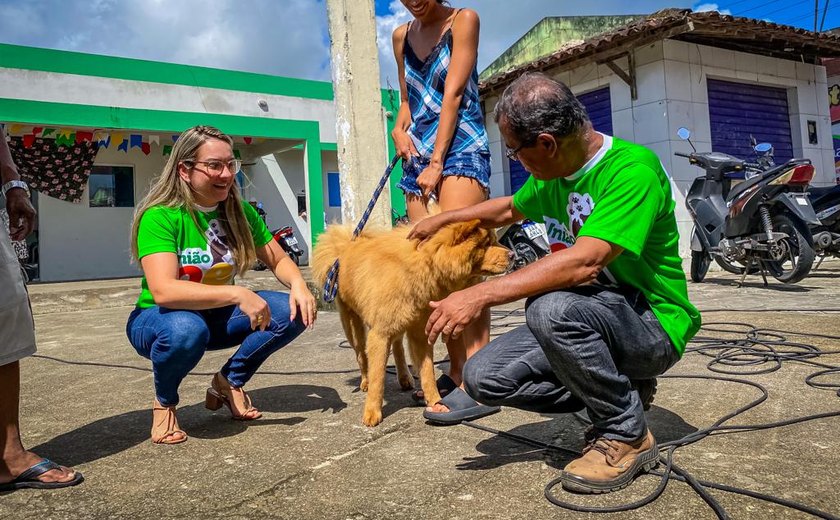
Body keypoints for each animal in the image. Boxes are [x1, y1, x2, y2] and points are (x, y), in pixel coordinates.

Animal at [314, 219, 512, 426]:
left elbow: (428, 373)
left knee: (398, 348)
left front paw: (436, 403)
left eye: (494, 240)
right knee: (361, 355)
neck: (420, 267)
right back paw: (365, 381)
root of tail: (345, 247)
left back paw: (404, 377)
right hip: (354, 327)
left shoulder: (420, 333)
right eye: (486, 244)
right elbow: (378, 376)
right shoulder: (380, 335)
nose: (513, 255)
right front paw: (372, 412)